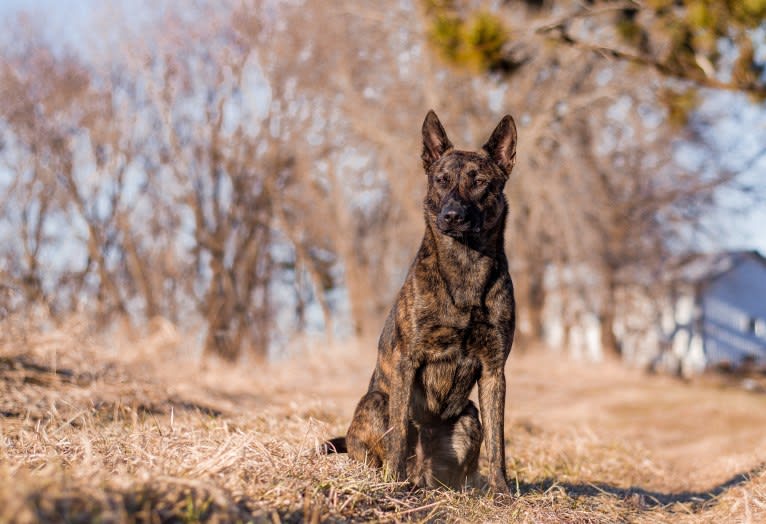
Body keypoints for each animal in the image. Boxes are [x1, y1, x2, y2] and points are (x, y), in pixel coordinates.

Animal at [328, 111, 520, 496]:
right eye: (441, 180)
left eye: (479, 182)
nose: (452, 216)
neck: (464, 268)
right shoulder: (407, 361)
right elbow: (400, 433)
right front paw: (392, 484)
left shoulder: (494, 371)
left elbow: (499, 441)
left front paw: (502, 492)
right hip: (376, 402)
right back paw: (393, 478)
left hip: (469, 417)